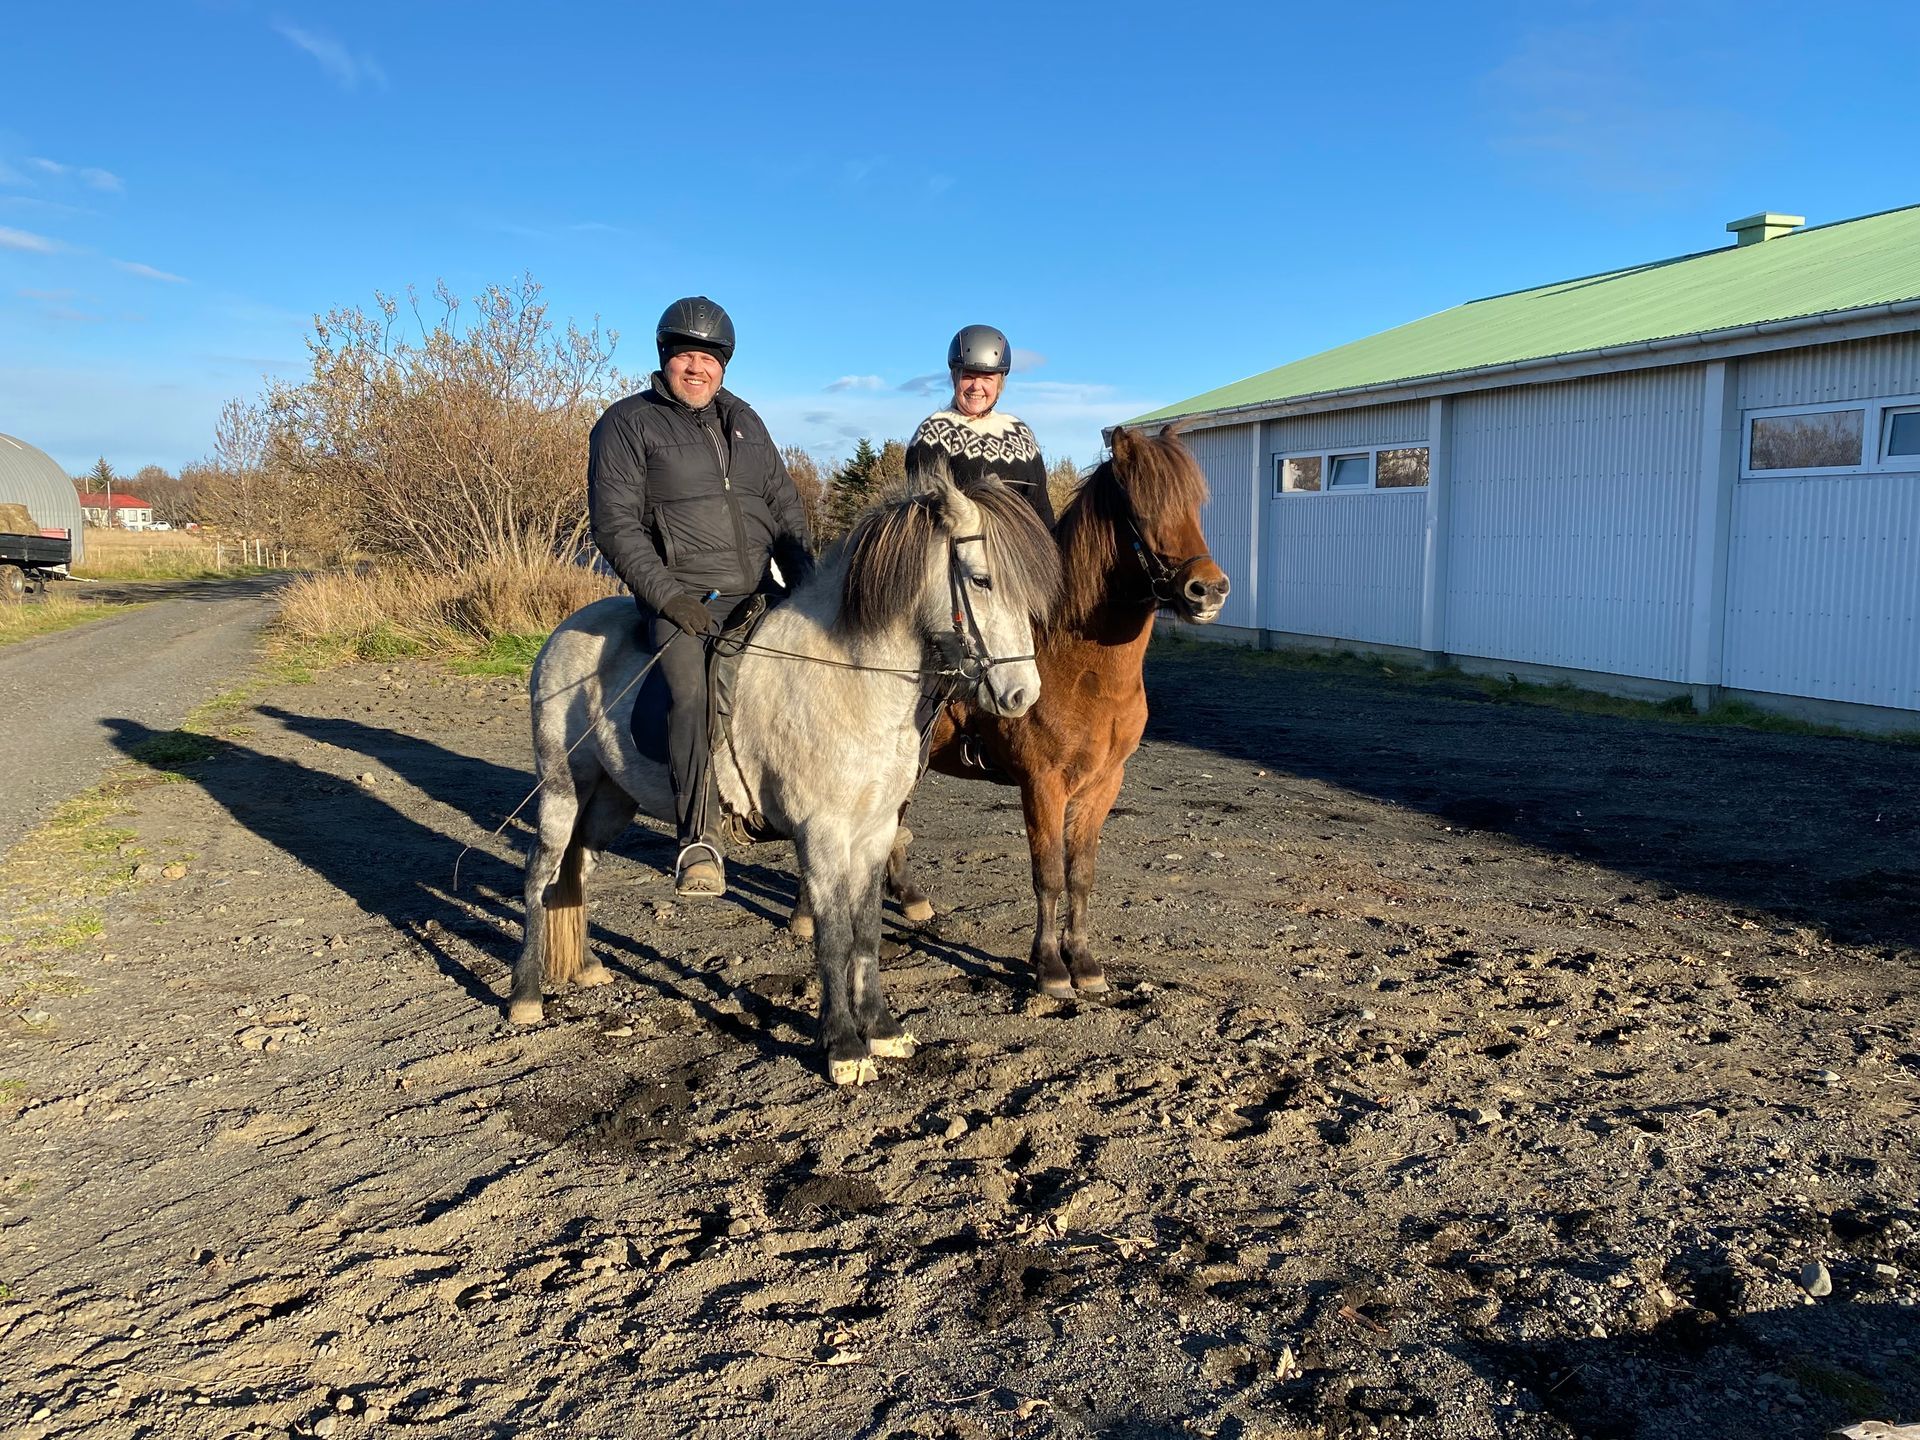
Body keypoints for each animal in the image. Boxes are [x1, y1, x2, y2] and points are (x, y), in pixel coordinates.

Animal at [510, 465, 1061, 1085]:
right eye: (982, 580)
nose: (1021, 696)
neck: (852, 677)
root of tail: (564, 632)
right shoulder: (821, 832)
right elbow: (833, 934)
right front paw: (844, 1047)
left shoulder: (875, 830)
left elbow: (867, 928)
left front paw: (882, 1029)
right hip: (563, 788)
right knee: (539, 874)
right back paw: (525, 996)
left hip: (611, 800)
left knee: (578, 866)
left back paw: (584, 967)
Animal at [798, 423, 1228, 997]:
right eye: (1141, 507)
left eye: (1195, 505)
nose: (1209, 590)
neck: (1078, 664)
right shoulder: (1043, 783)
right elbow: (1047, 872)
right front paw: (1049, 966)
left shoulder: (1103, 782)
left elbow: (1080, 872)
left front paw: (1083, 961)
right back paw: (806, 913)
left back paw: (908, 896)